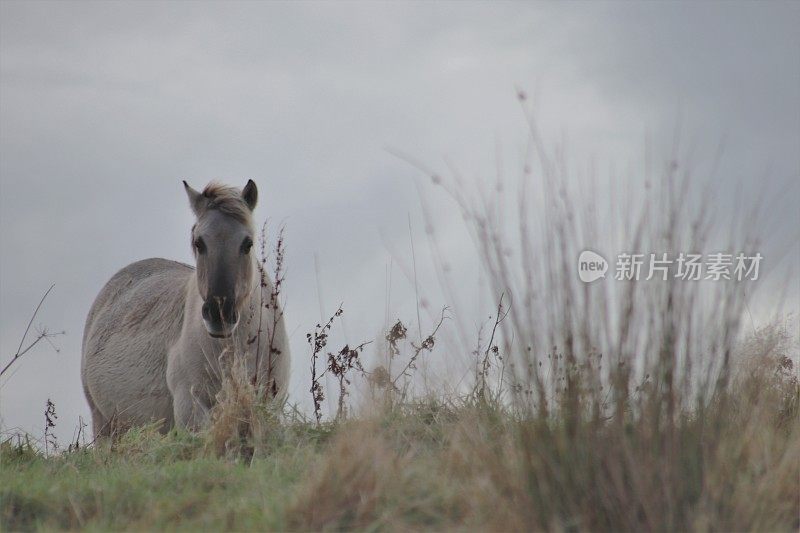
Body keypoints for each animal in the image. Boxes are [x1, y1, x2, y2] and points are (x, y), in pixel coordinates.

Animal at [78, 179, 290, 436]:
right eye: (199, 243)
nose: (219, 314)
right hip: (104, 425)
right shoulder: (192, 409)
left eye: (247, 243)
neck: (236, 348)